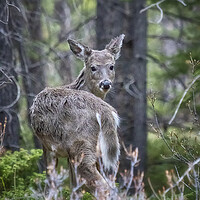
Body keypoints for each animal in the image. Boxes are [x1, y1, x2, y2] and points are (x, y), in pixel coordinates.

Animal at [29, 34, 124, 197]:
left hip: (80, 144)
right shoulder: (68, 155)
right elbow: (74, 189)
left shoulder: (48, 146)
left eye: (111, 66)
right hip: (97, 150)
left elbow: (51, 184)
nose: (105, 83)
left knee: (100, 186)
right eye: (93, 67)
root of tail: (103, 109)